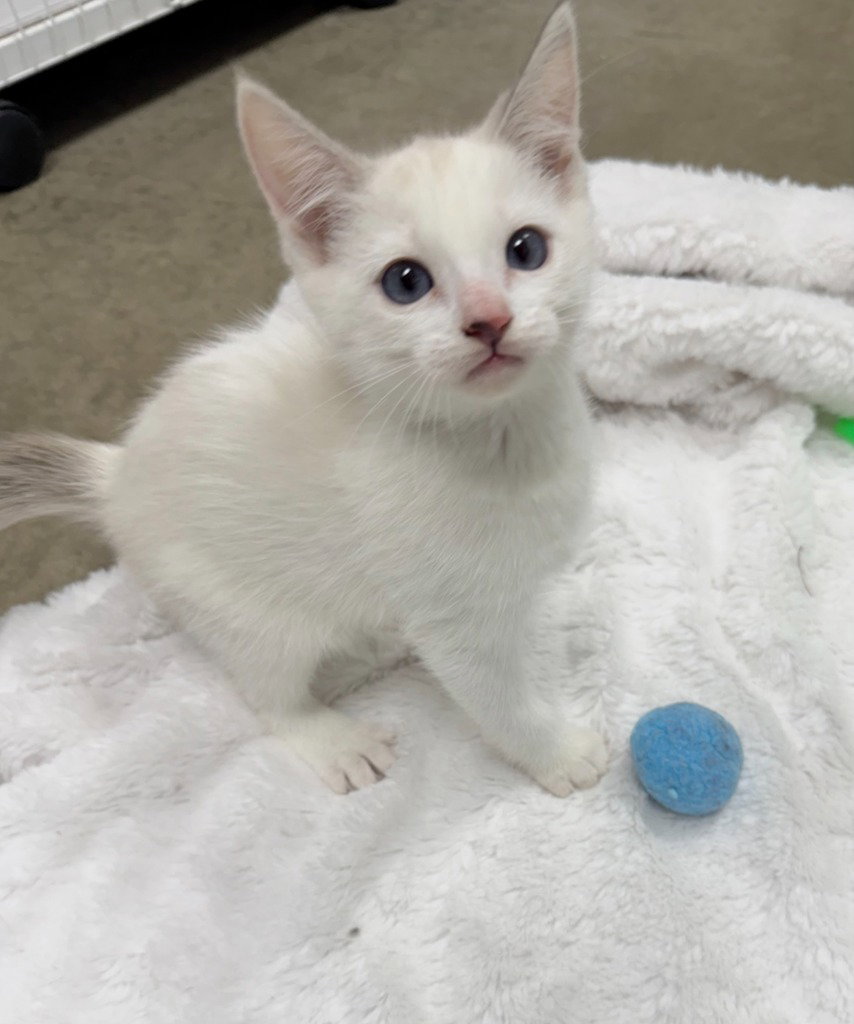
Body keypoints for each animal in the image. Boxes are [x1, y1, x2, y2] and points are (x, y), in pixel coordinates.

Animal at [0, 3, 607, 796]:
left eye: (526, 249)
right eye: (406, 282)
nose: (489, 320)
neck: (506, 442)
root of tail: (115, 472)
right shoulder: (452, 616)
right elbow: (497, 696)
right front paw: (556, 752)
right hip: (242, 608)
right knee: (265, 693)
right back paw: (331, 736)